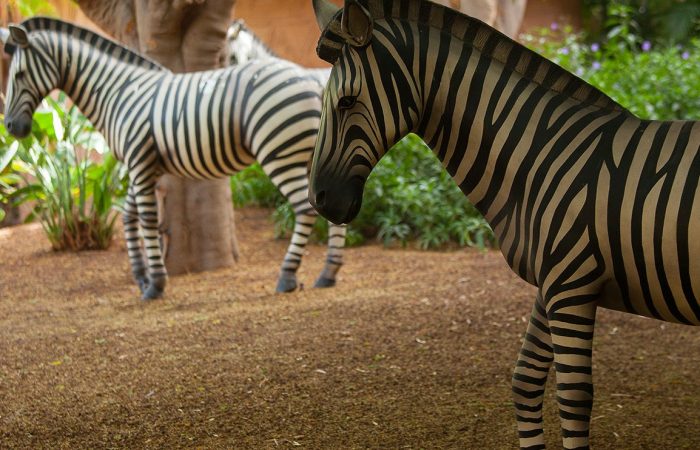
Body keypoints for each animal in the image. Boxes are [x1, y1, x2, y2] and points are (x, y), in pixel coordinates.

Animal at [1, 16, 346, 298]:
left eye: (18, 75)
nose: (12, 128)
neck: (119, 92)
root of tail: (311, 79)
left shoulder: (139, 162)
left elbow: (148, 219)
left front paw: (156, 284)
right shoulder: (143, 165)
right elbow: (129, 217)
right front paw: (141, 277)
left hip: (279, 152)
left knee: (304, 208)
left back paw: (287, 276)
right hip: (311, 156)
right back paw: (328, 273)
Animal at [310, 0, 700, 450]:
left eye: (347, 102)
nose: (319, 199)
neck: (539, 156)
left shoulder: (571, 285)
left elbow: (572, 396)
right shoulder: (552, 283)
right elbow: (525, 381)